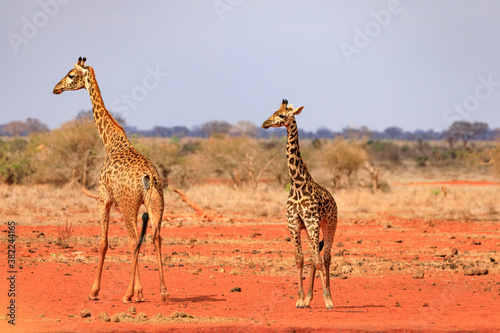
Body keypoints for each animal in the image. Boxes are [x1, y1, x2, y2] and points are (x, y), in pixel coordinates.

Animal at [53, 57, 170, 304]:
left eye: (70, 75)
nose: (55, 88)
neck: (111, 142)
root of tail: (148, 176)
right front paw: (140, 292)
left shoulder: (103, 198)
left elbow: (103, 243)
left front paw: (95, 291)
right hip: (156, 203)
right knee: (155, 237)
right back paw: (163, 292)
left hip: (127, 205)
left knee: (134, 240)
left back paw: (126, 295)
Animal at [262, 98, 340, 308]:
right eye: (273, 112)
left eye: (282, 115)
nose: (265, 124)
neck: (297, 184)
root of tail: (333, 199)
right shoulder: (294, 223)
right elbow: (300, 259)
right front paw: (299, 299)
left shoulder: (312, 222)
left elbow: (319, 260)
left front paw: (327, 300)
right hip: (310, 228)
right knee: (314, 256)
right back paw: (308, 299)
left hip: (329, 224)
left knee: (326, 256)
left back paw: (328, 296)